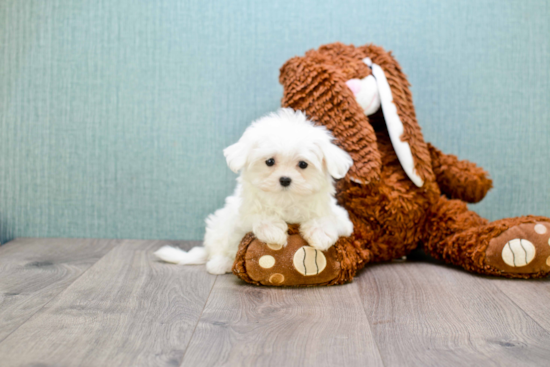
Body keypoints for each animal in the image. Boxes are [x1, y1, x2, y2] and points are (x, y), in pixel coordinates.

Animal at [155, 108, 354, 274]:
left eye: (303, 164)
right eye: (270, 162)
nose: (285, 179)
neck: (285, 201)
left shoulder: (340, 218)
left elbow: (327, 218)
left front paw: (321, 234)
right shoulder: (241, 215)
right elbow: (257, 216)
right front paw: (273, 230)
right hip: (220, 228)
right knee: (220, 251)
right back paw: (220, 263)